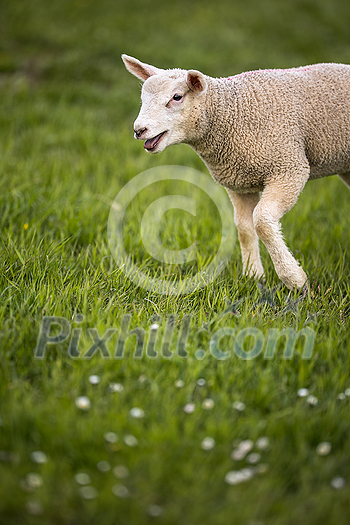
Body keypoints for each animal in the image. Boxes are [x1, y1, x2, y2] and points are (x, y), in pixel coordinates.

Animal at [121, 54, 350, 290]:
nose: (139, 130)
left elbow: (262, 222)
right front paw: (253, 275)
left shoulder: (289, 168)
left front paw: (295, 279)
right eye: (143, 98)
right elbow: (244, 228)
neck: (231, 112)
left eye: (177, 97)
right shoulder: (240, 182)